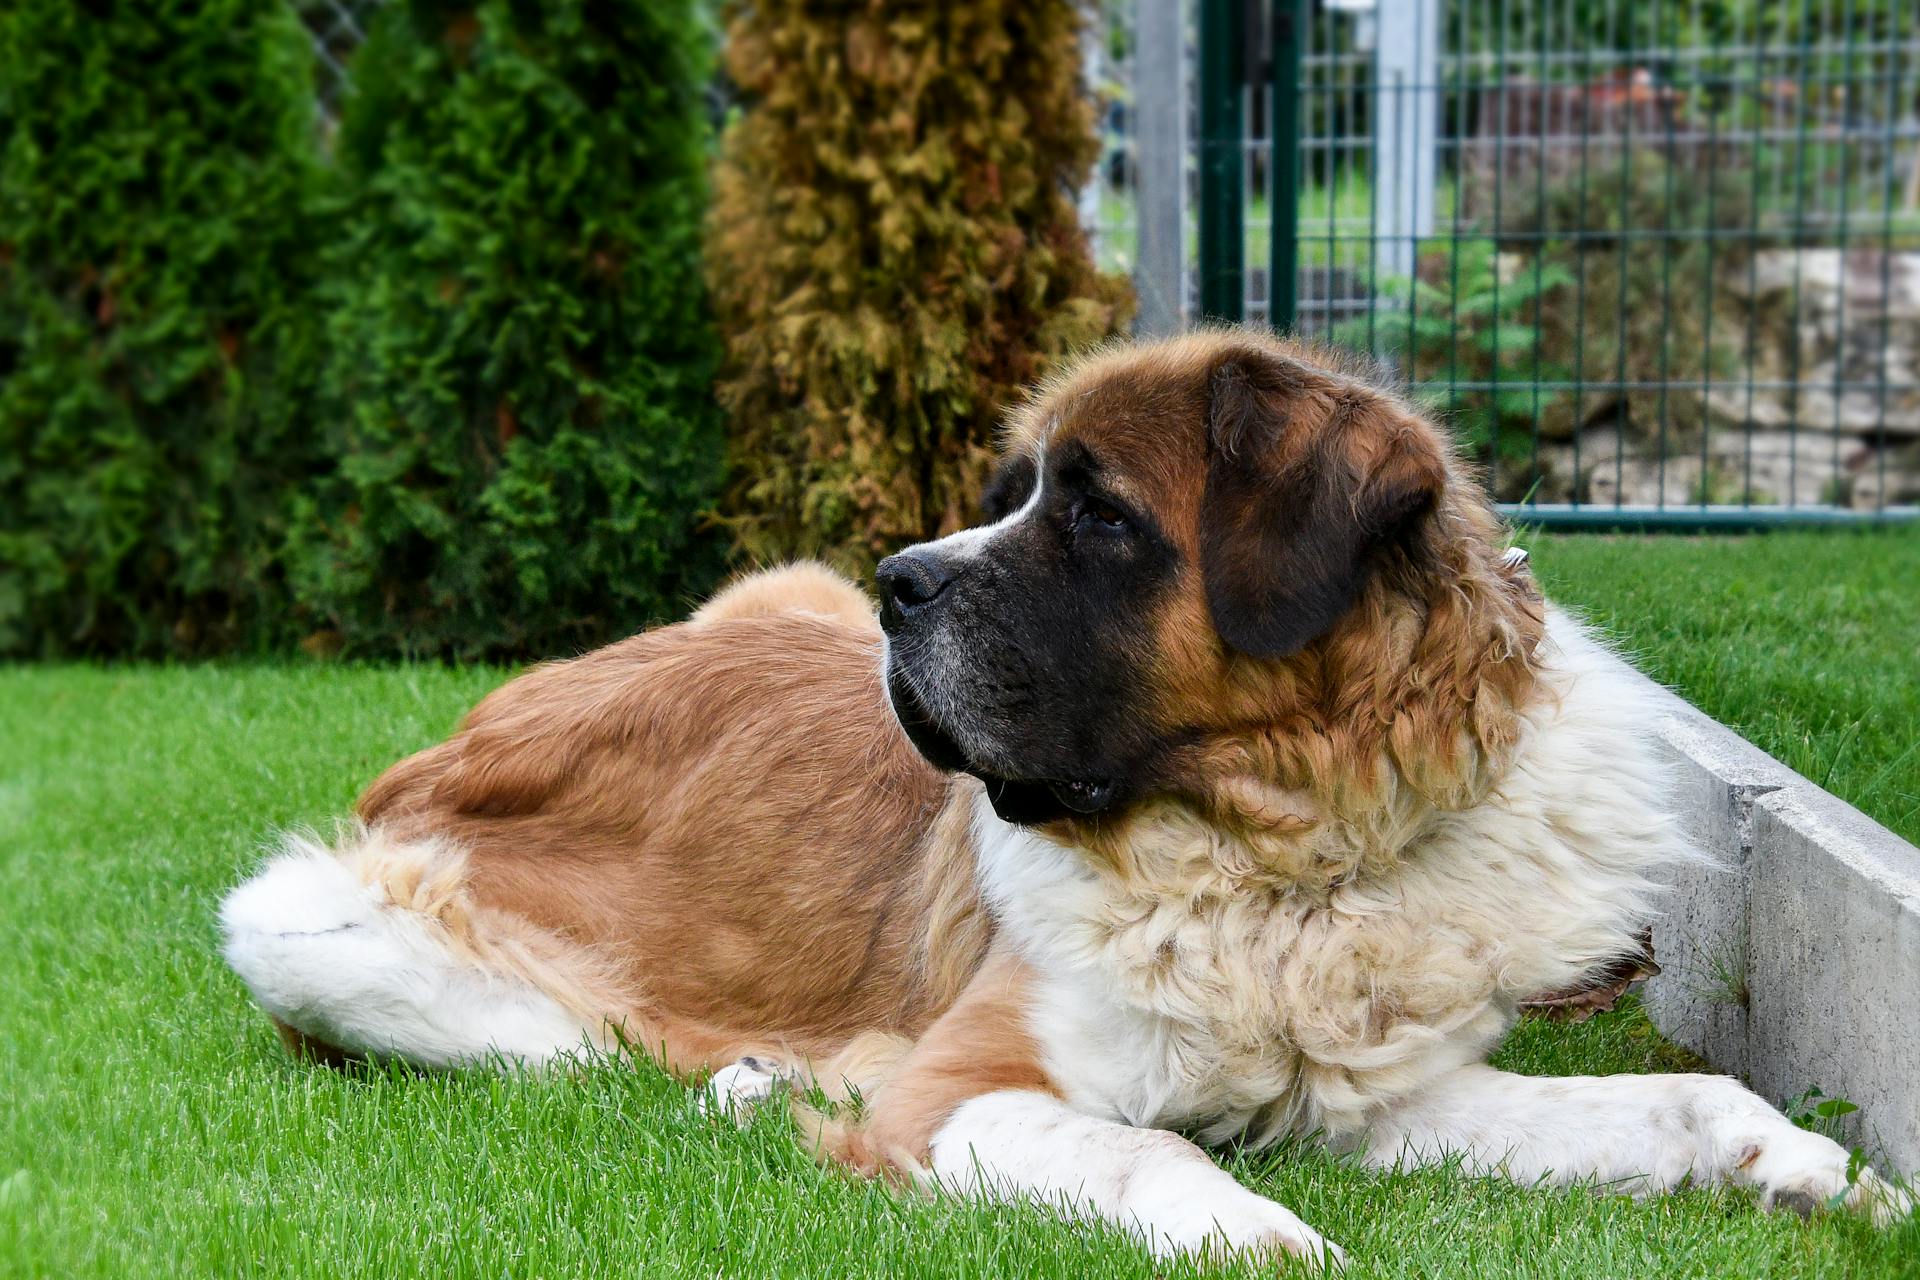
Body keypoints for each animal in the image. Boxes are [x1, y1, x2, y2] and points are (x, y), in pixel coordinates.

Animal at [220, 330, 1904, 1258]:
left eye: (1095, 516)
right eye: (1007, 498)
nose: (901, 579)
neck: (1280, 850)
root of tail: (463, 728)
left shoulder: (1382, 1101)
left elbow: (1672, 1095)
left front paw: (1806, 1166)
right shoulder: (970, 1092)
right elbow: (1140, 1143)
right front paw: (1259, 1237)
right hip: (309, 923)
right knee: (576, 1048)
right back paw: (762, 1079)